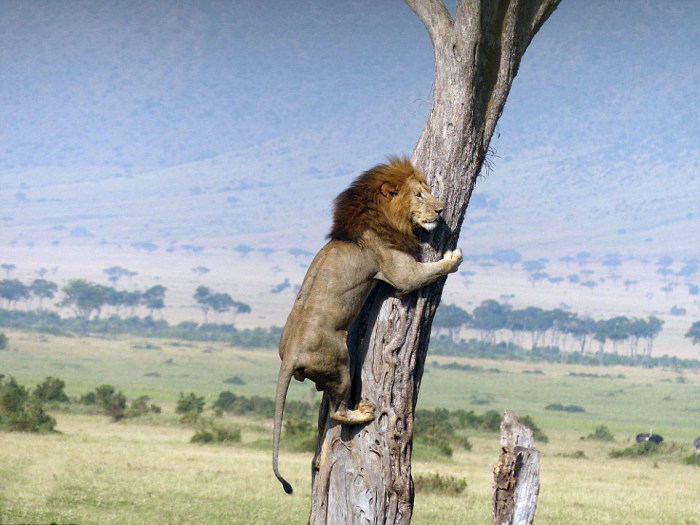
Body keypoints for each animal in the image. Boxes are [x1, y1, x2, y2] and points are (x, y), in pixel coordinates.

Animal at [274, 156, 464, 492]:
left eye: (427, 191)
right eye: (419, 195)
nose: (441, 209)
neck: (381, 217)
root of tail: (291, 356)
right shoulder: (401, 273)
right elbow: (433, 269)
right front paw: (455, 256)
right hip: (340, 364)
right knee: (337, 412)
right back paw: (362, 412)